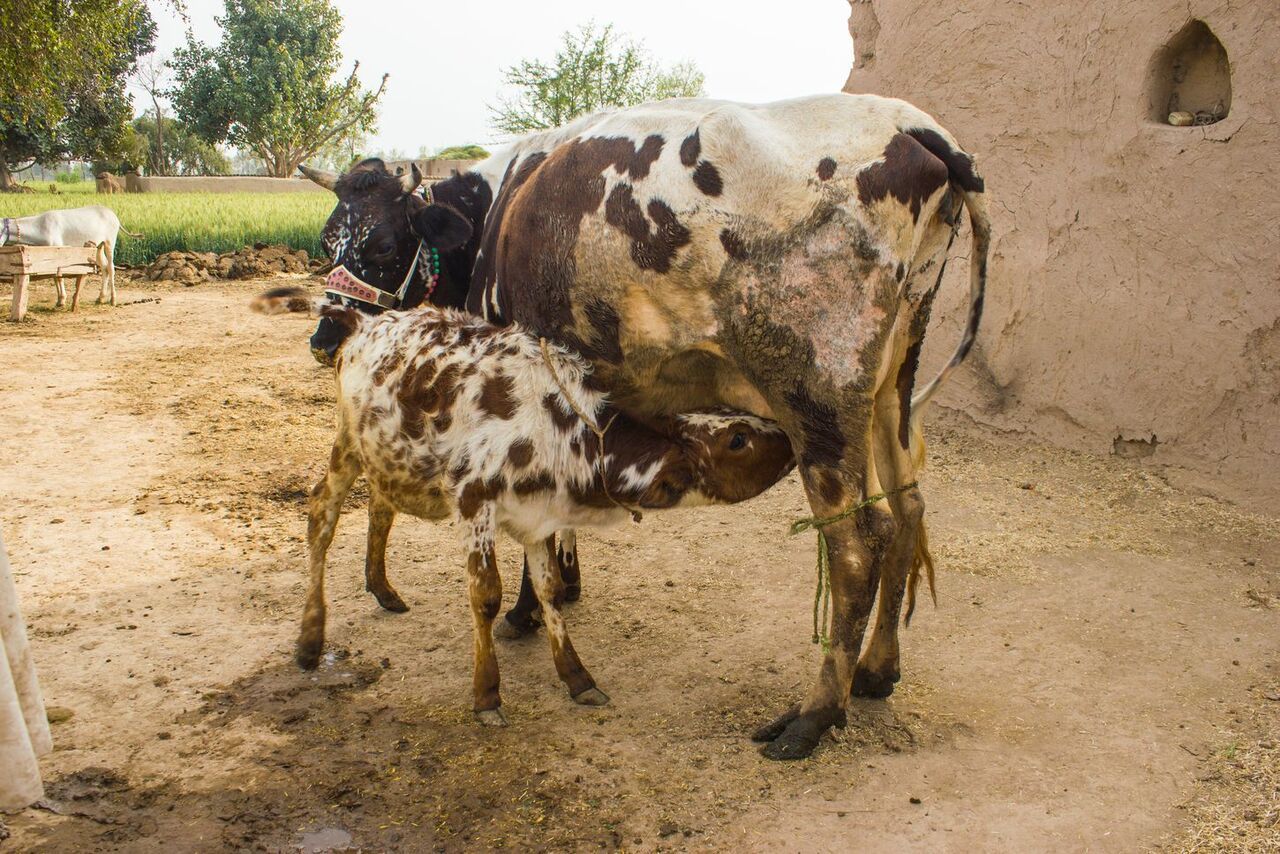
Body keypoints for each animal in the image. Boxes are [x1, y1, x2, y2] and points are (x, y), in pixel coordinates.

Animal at [0, 206, 140, 307]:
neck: (40, 227)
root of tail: (113, 215)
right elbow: (55, 276)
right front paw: (60, 300)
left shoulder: (58, 250)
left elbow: (58, 276)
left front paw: (62, 300)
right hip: (97, 247)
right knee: (104, 267)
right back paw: (100, 298)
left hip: (109, 242)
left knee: (111, 268)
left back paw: (113, 300)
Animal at [253, 290, 793, 727]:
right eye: (737, 439)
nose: (789, 439)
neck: (564, 429)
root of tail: (369, 319)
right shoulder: (472, 502)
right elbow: (486, 596)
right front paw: (486, 695)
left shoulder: (538, 517)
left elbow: (550, 590)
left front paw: (577, 677)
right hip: (347, 443)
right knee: (321, 514)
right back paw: (310, 639)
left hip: (385, 455)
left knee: (380, 506)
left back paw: (382, 589)